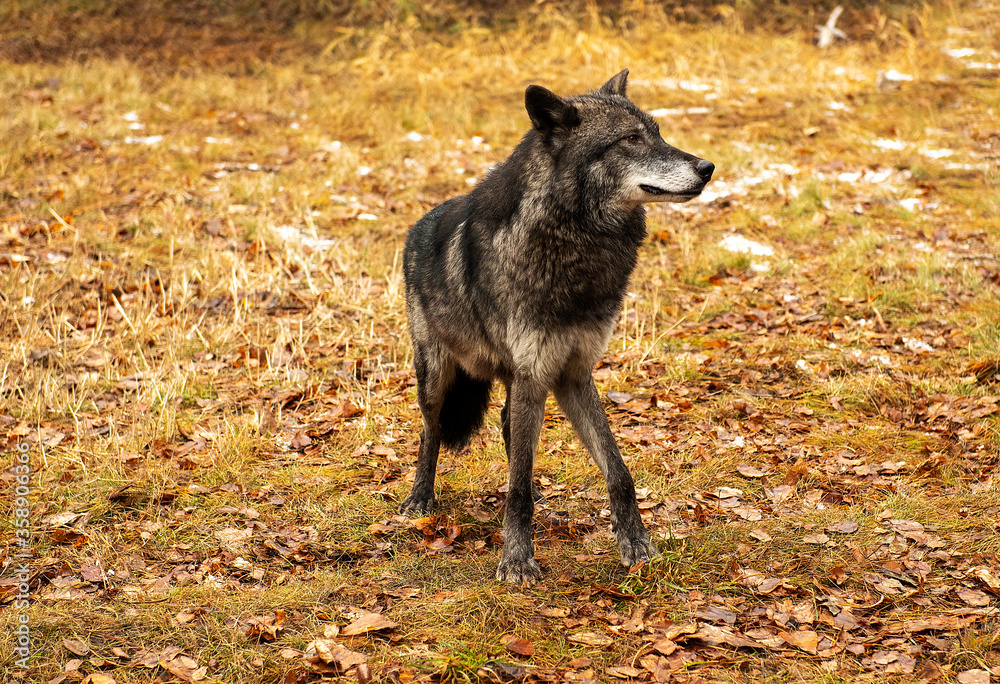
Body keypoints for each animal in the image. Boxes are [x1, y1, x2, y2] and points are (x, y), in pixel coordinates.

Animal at [400, 70, 714, 583]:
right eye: (631, 140)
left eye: (658, 132)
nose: (707, 167)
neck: (576, 242)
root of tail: (417, 225)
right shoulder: (537, 373)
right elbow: (516, 490)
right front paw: (517, 559)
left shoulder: (572, 372)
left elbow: (618, 470)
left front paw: (636, 543)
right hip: (436, 375)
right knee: (431, 431)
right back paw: (419, 500)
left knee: (509, 432)